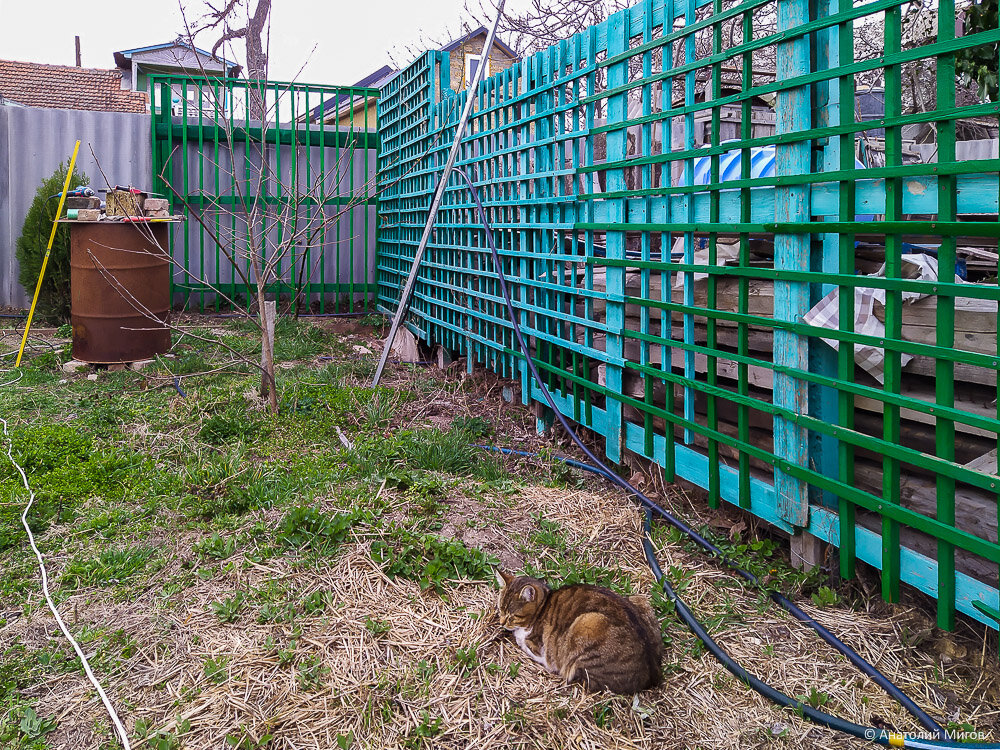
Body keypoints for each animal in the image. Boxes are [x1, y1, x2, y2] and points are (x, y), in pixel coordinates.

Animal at [494, 572, 664, 696]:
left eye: (513, 616)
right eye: (500, 608)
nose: (501, 622)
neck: (543, 605)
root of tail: (652, 675)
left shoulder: (538, 646)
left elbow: (524, 642)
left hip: (588, 623)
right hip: (640, 599)